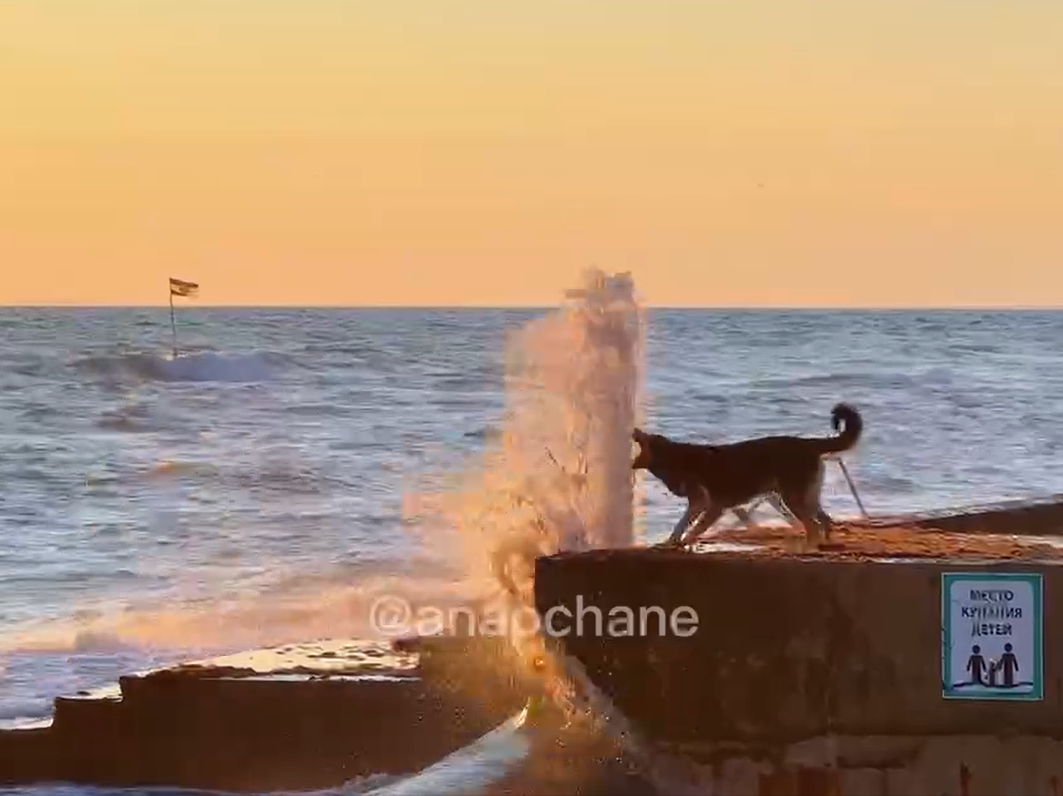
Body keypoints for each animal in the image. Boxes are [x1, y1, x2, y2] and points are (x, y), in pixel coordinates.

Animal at [629, 403, 863, 548]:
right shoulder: (697, 504)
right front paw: (671, 542)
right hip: (806, 497)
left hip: (793, 498)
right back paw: (823, 545)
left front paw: (685, 541)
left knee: (813, 527)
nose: (633, 429)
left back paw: (805, 548)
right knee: (825, 521)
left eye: (647, 436)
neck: (675, 457)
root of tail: (808, 443)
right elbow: (681, 525)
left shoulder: (712, 506)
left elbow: (693, 528)